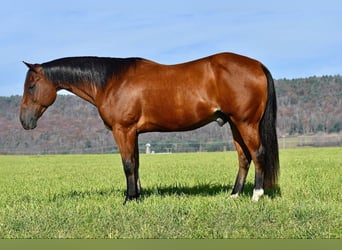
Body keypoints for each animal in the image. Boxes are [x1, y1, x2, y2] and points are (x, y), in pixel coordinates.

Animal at [20, 51, 280, 202]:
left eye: (31, 86)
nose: (24, 121)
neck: (112, 81)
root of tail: (257, 65)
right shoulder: (132, 132)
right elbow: (135, 163)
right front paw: (137, 195)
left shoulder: (123, 130)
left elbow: (127, 165)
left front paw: (129, 199)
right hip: (235, 124)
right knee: (244, 157)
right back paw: (234, 195)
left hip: (246, 123)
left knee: (258, 153)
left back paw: (256, 195)